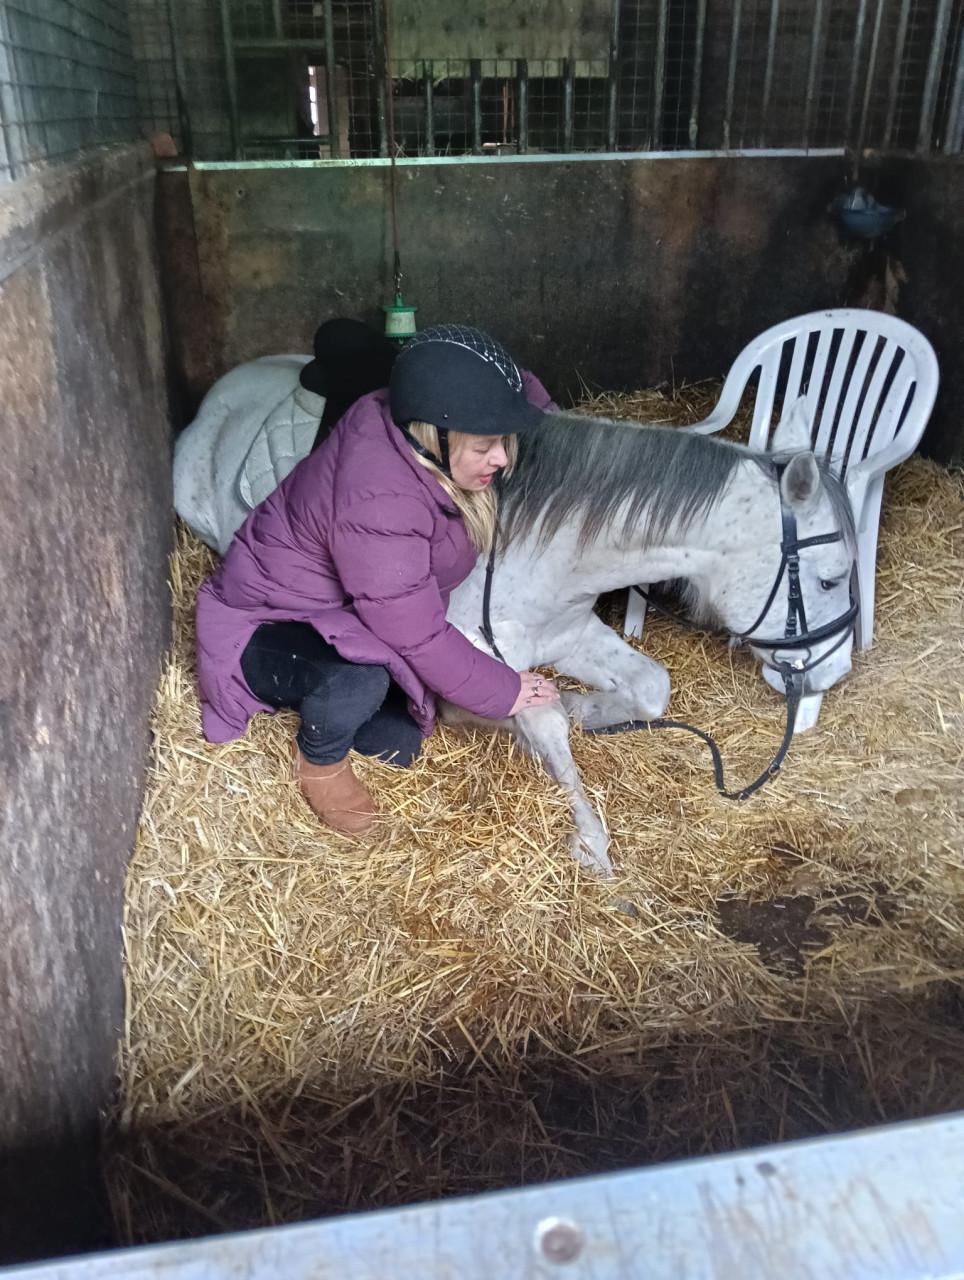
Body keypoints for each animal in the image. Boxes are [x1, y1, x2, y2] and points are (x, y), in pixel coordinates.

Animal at [442, 400, 857, 877]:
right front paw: (589, 839)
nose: (837, 667)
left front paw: (581, 706)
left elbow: (650, 687)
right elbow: (539, 718)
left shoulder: (570, 635)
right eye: (829, 581)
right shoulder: (470, 654)